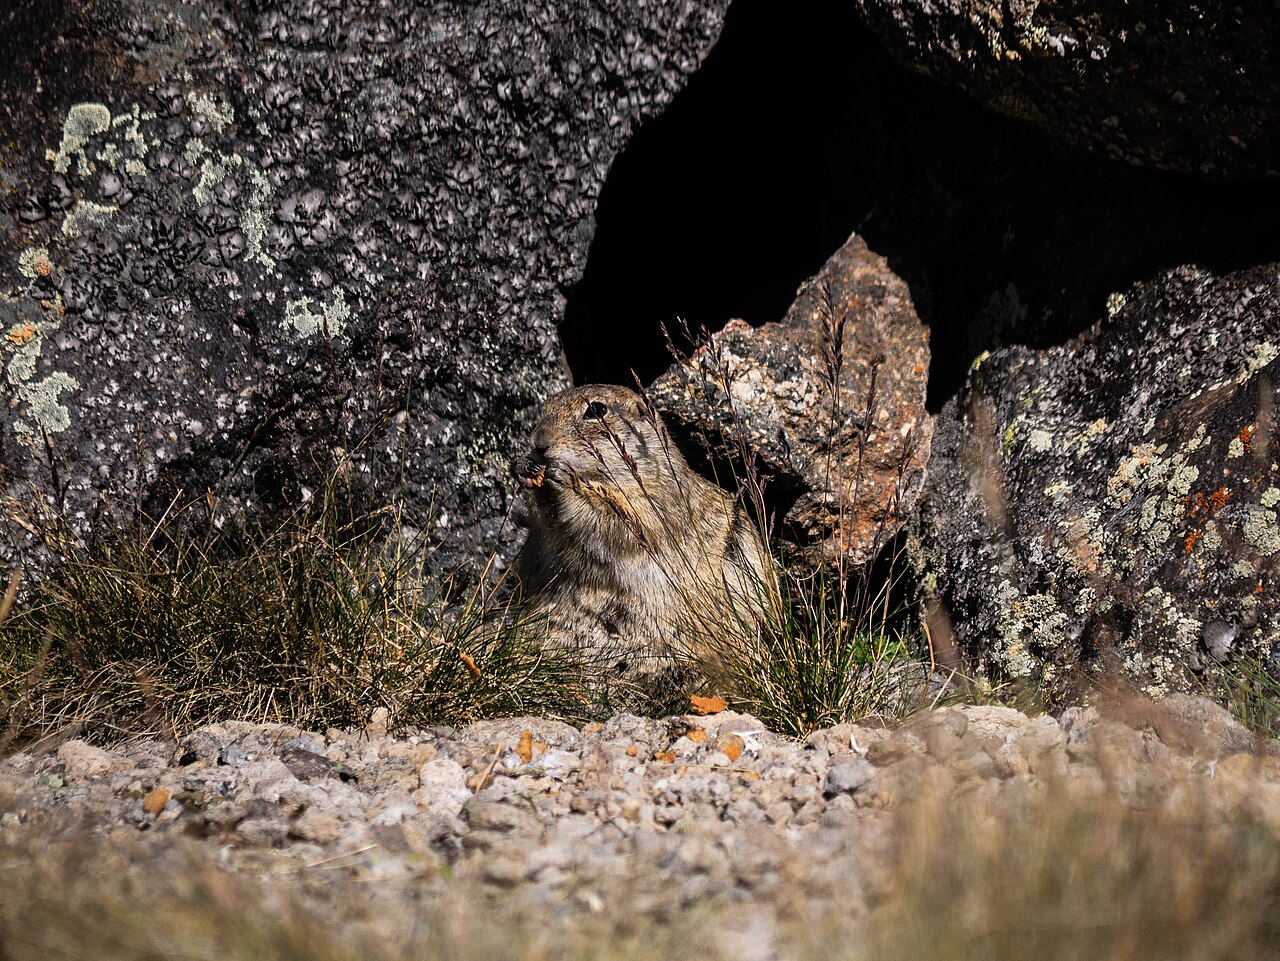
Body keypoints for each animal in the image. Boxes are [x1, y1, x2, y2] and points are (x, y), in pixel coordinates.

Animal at [513, 384, 774, 695]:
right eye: (547, 406)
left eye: (596, 410)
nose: (539, 444)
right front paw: (524, 469)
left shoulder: (651, 502)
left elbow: (618, 518)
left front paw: (564, 479)